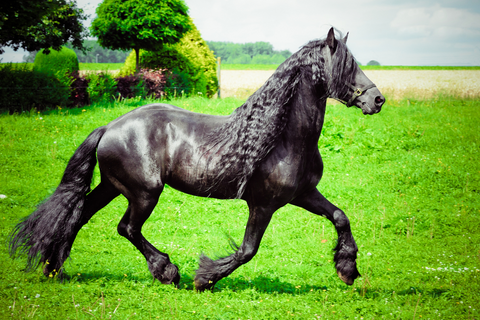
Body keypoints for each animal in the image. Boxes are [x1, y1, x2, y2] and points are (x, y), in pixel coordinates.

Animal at [9, 28, 384, 292]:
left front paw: (347, 270)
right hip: (144, 192)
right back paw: (167, 272)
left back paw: (54, 269)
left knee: (78, 216)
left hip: (113, 186)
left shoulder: (303, 194)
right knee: (127, 227)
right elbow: (247, 250)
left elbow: (340, 216)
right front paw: (203, 279)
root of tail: (109, 127)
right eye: (348, 65)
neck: (282, 138)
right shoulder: (263, 204)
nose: (377, 99)